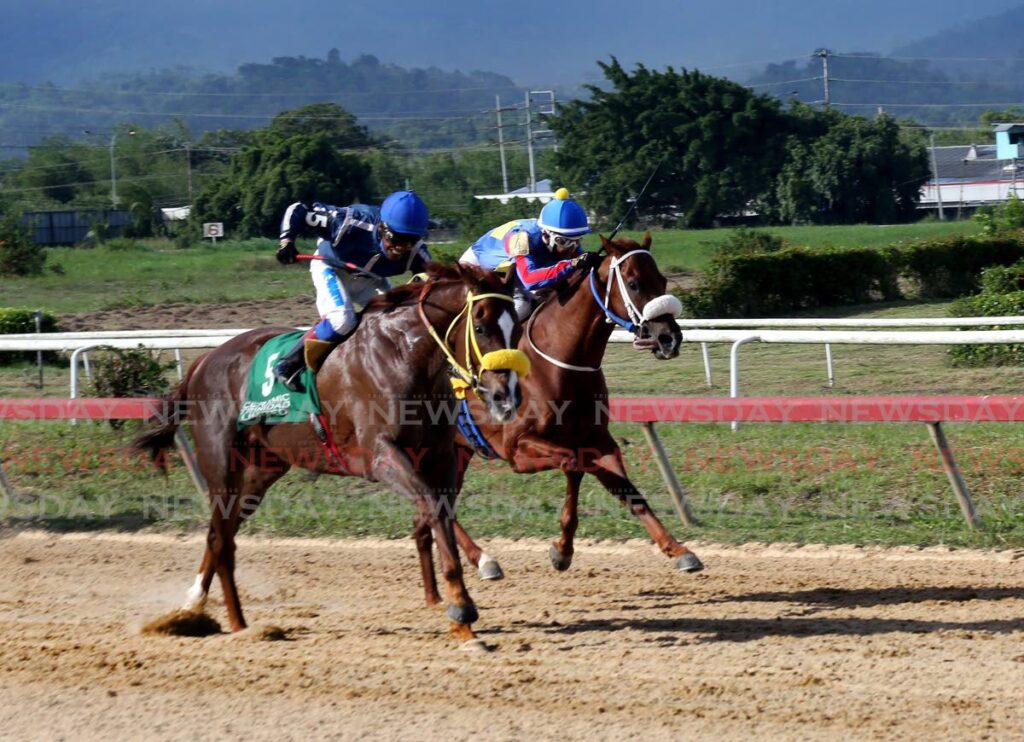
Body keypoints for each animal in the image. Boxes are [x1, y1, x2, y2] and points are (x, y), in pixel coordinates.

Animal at [132, 264, 524, 646]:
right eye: (480, 326)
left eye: (517, 326)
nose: (506, 397)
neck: (401, 354)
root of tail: (203, 361)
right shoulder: (382, 456)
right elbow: (433, 509)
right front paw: (461, 608)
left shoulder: (439, 455)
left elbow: (440, 511)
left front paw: (464, 619)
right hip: (220, 462)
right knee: (218, 537)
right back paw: (220, 619)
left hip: (261, 469)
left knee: (224, 536)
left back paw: (230, 621)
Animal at [415, 234, 704, 597]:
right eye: (635, 283)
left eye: (663, 280)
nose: (669, 338)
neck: (560, 362)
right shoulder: (519, 450)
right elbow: (580, 465)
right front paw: (562, 549)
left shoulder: (595, 438)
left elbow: (624, 489)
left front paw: (679, 550)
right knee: (435, 503)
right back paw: (481, 559)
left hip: (458, 448)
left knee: (442, 504)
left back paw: (481, 559)